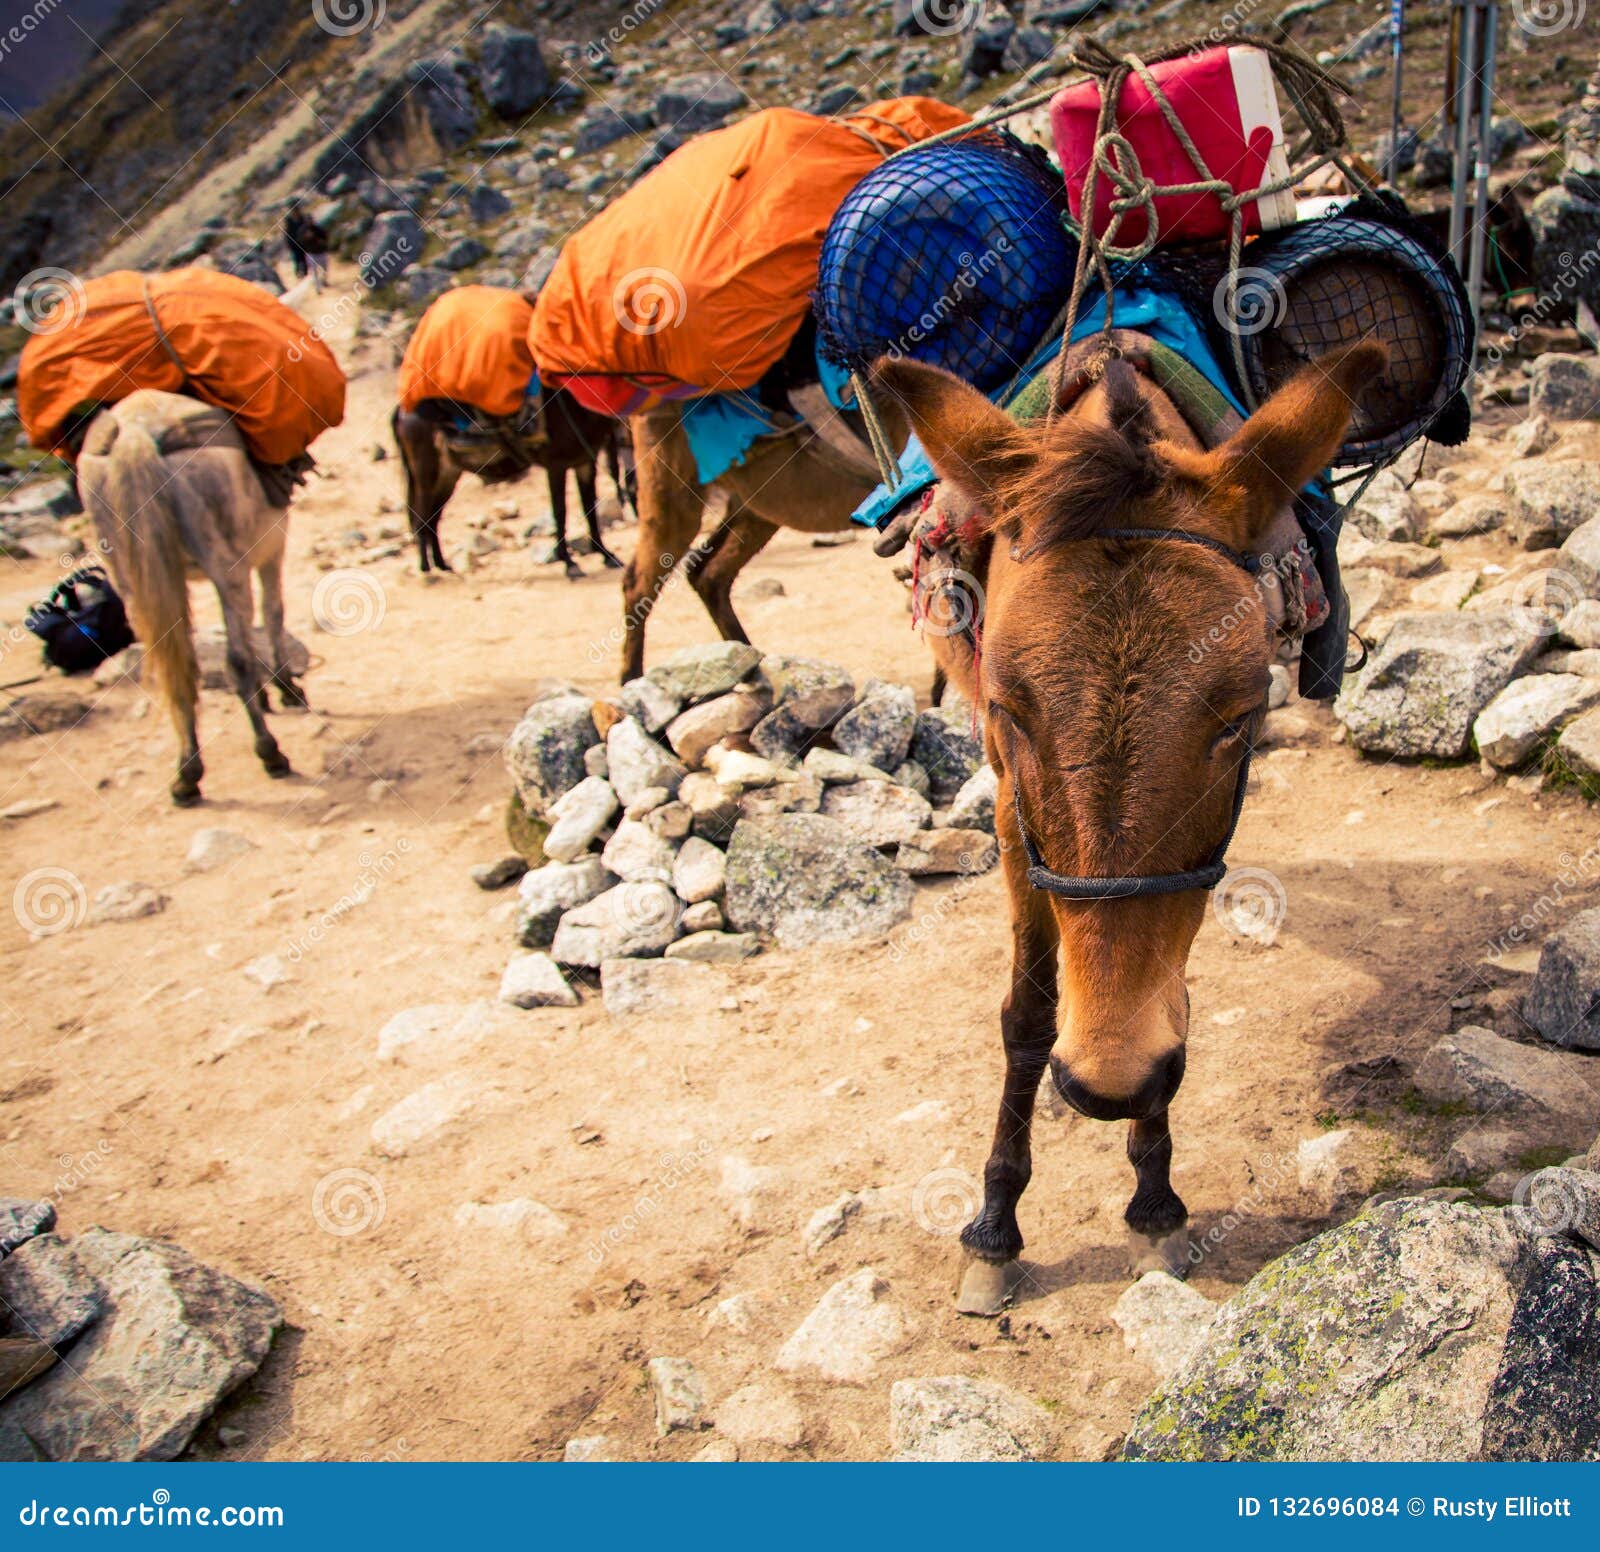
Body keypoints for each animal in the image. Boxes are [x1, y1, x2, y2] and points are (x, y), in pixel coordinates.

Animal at [76, 389, 305, 806]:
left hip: (129, 578)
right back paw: (270, 753)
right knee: (237, 660)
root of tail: (136, 435)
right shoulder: (272, 546)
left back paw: (186, 775)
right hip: (225, 561)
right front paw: (286, 689)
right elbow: (273, 615)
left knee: (172, 668)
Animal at [391, 388, 634, 578]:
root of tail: (402, 409)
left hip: (448, 475)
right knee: (419, 516)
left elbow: (589, 508)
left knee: (433, 518)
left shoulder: (585, 462)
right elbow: (560, 511)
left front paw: (606, 554)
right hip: (425, 473)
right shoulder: (556, 465)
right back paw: (425, 569)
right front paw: (569, 562)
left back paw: (442, 565)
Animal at [619, 397, 905, 681]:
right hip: (672, 486)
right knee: (639, 581)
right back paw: (631, 680)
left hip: (758, 502)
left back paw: (748, 666)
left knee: (707, 573)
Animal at [868, 337, 1385, 1314]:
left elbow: (1169, 989)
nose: (1108, 1081)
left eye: (1240, 717)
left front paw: (1153, 1201)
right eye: (1010, 711)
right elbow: (1029, 1014)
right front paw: (994, 1228)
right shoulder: (1008, 807)